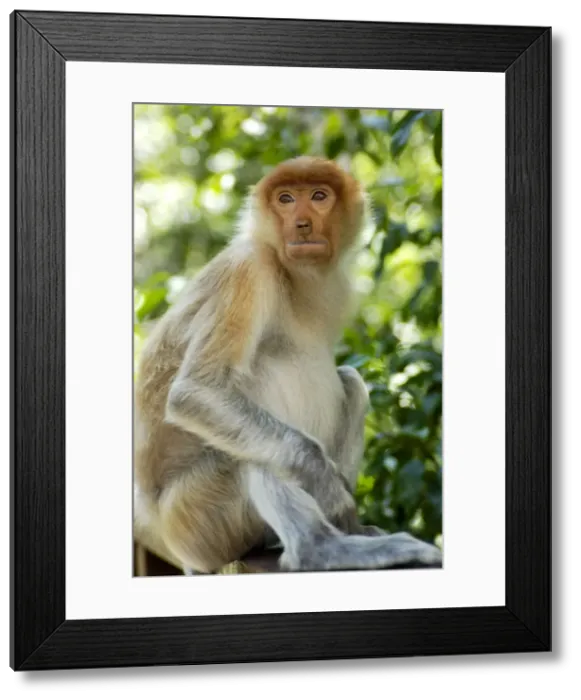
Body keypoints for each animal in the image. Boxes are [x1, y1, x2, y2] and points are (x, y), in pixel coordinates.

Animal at [133, 155, 442, 575]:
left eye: (318, 196)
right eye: (285, 199)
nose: (302, 224)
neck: (287, 269)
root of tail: (166, 532)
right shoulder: (248, 271)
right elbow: (195, 392)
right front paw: (326, 486)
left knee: (350, 382)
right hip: (198, 519)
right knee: (255, 404)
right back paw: (320, 548)